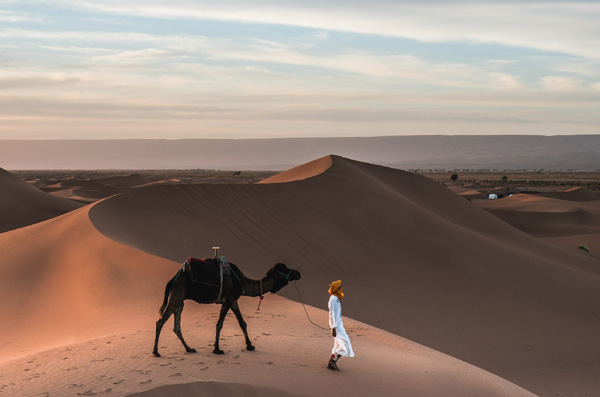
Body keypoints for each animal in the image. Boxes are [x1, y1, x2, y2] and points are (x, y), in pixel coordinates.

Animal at [150, 256, 300, 356]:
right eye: (285, 268)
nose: (298, 273)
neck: (242, 283)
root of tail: (173, 278)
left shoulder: (233, 301)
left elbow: (242, 323)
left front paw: (250, 345)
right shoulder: (228, 300)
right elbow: (220, 324)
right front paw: (217, 349)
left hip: (180, 302)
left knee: (176, 326)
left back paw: (189, 348)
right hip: (176, 296)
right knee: (160, 322)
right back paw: (156, 352)